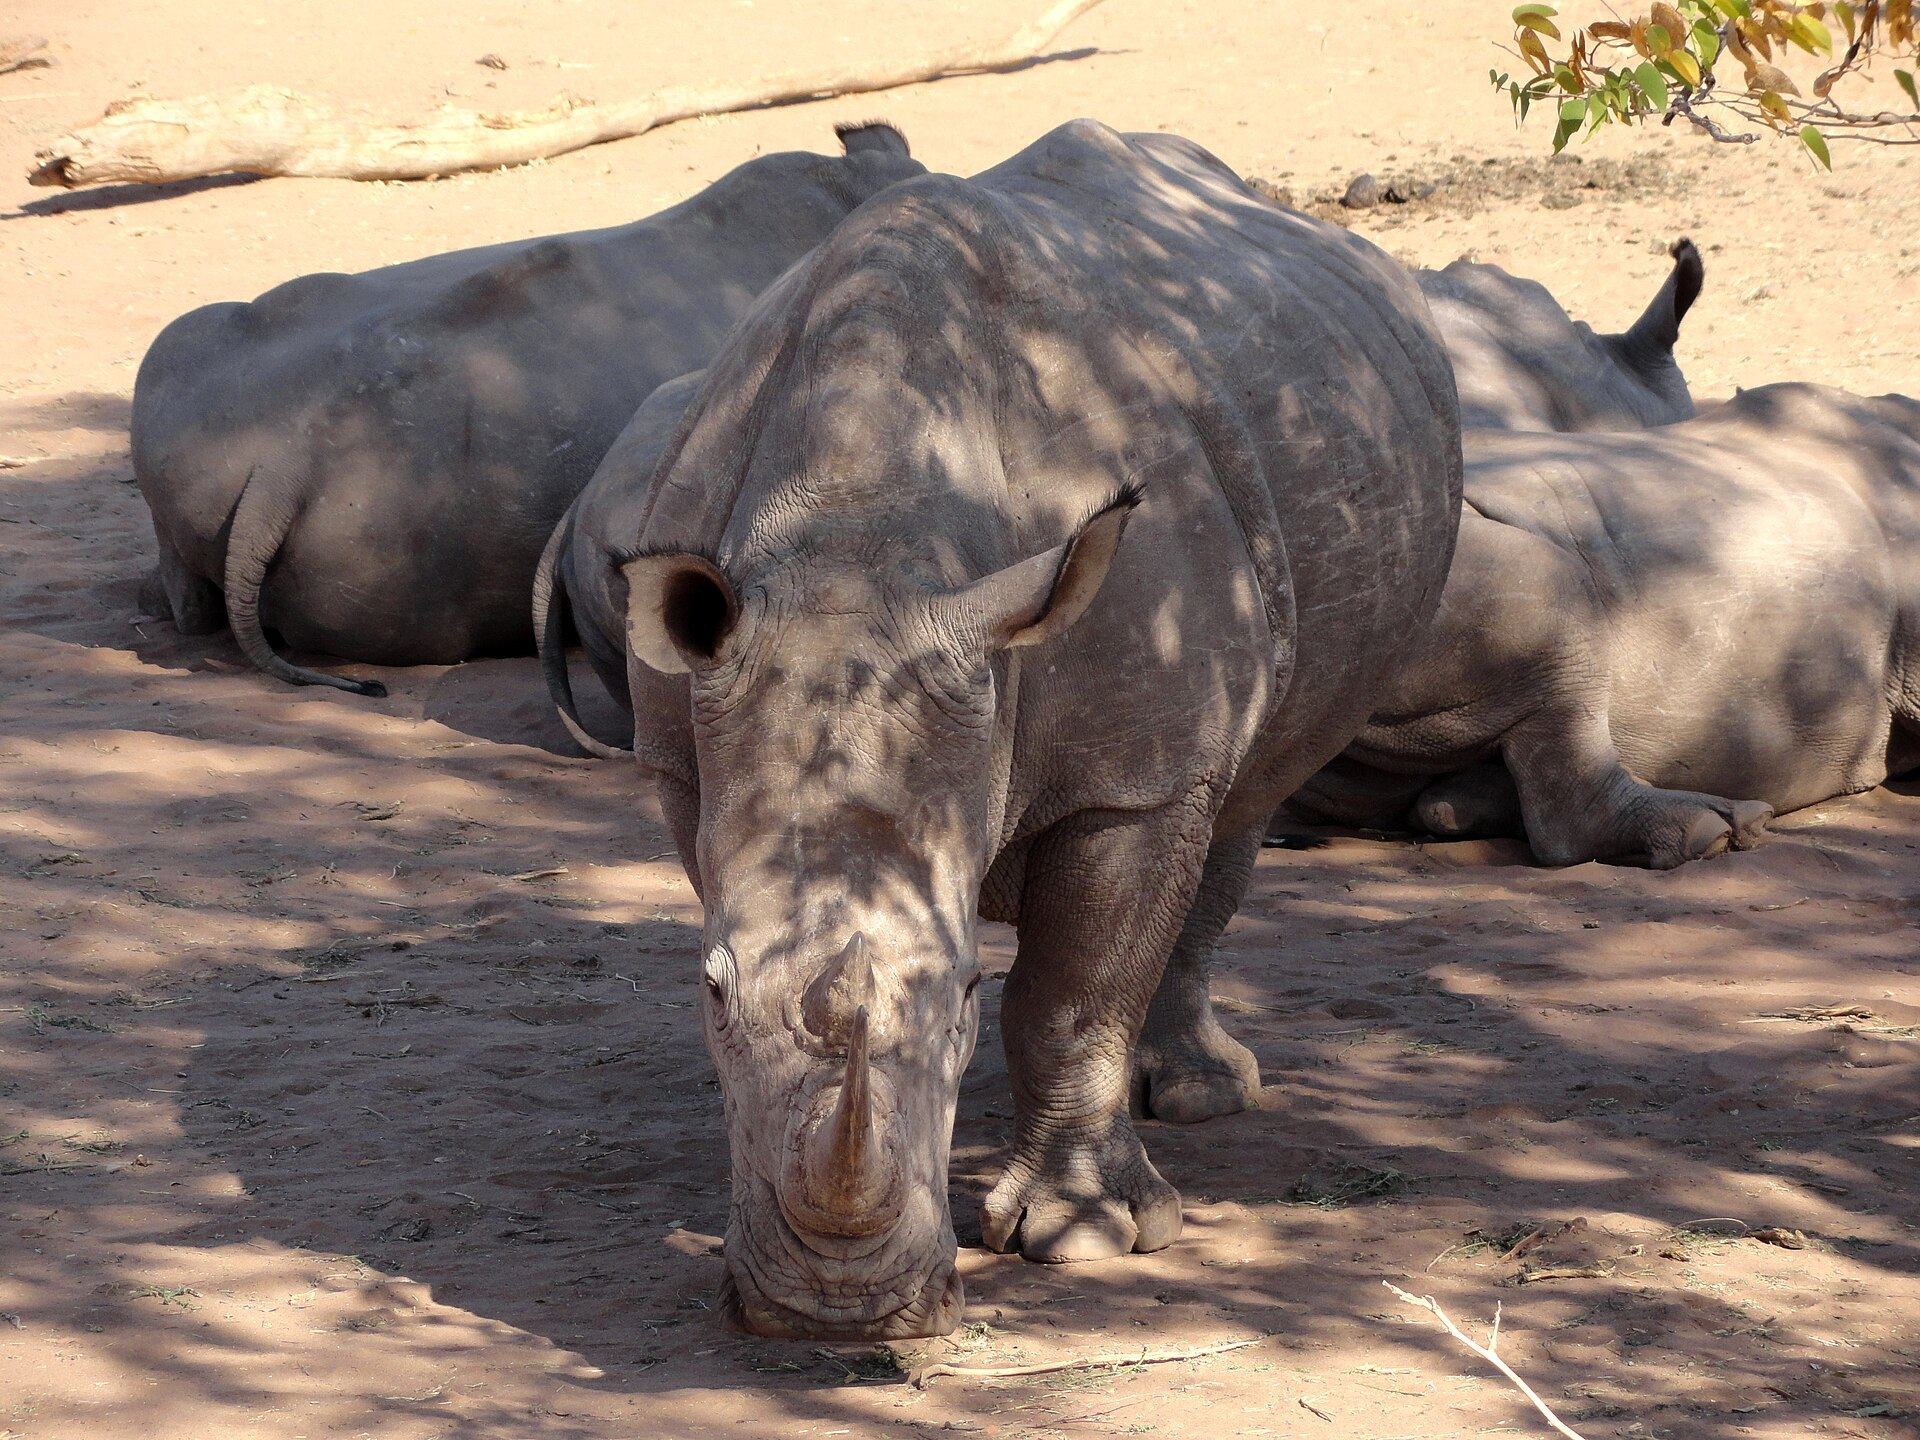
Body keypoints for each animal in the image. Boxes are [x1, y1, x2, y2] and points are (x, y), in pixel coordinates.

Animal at [539, 119, 1462, 1338]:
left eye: (962, 996)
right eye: (712, 992)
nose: (835, 1316)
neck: (857, 546)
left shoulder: (1132, 771)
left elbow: (1073, 991)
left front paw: (1084, 1239)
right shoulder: (692, 764)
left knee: (1239, 802)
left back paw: (1202, 1097)